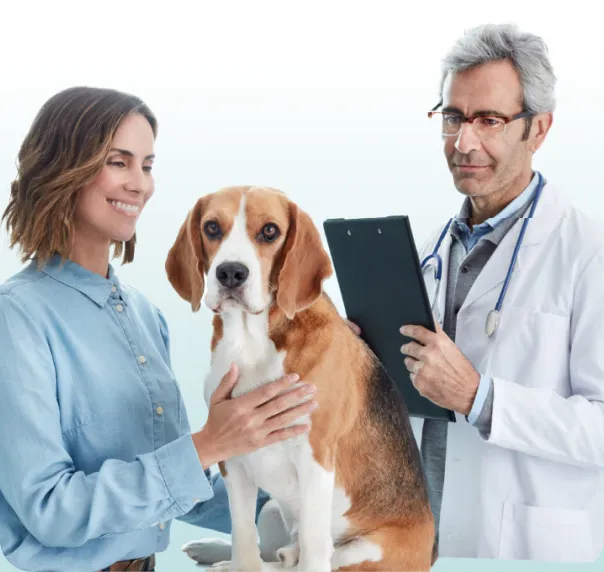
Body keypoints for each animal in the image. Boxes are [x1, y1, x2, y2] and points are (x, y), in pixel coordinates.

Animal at [165, 185, 436, 568]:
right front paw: (238, 563)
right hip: (271, 510)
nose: (231, 273)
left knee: (301, 557)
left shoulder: (315, 455)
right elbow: (242, 535)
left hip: (363, 550)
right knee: (270, 553)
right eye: (212, 227)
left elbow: (311, 541)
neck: (250, 341)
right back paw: (220, 554)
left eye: (270, 231)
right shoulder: (231, 453)